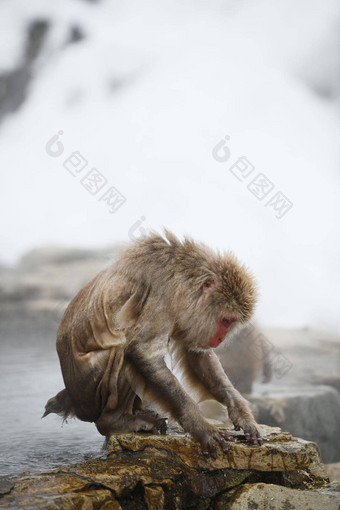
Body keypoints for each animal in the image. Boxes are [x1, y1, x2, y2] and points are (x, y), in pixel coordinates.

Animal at [43, 231, 262, 458]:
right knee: (123, 349)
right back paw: (114, 422)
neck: (181, 279)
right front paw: (200, 427)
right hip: (90, 394)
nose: (219, 339)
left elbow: (197, 356)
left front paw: (240, 412)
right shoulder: (162, 295)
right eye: (226, 320)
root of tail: (74, 399)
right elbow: (143, 353)